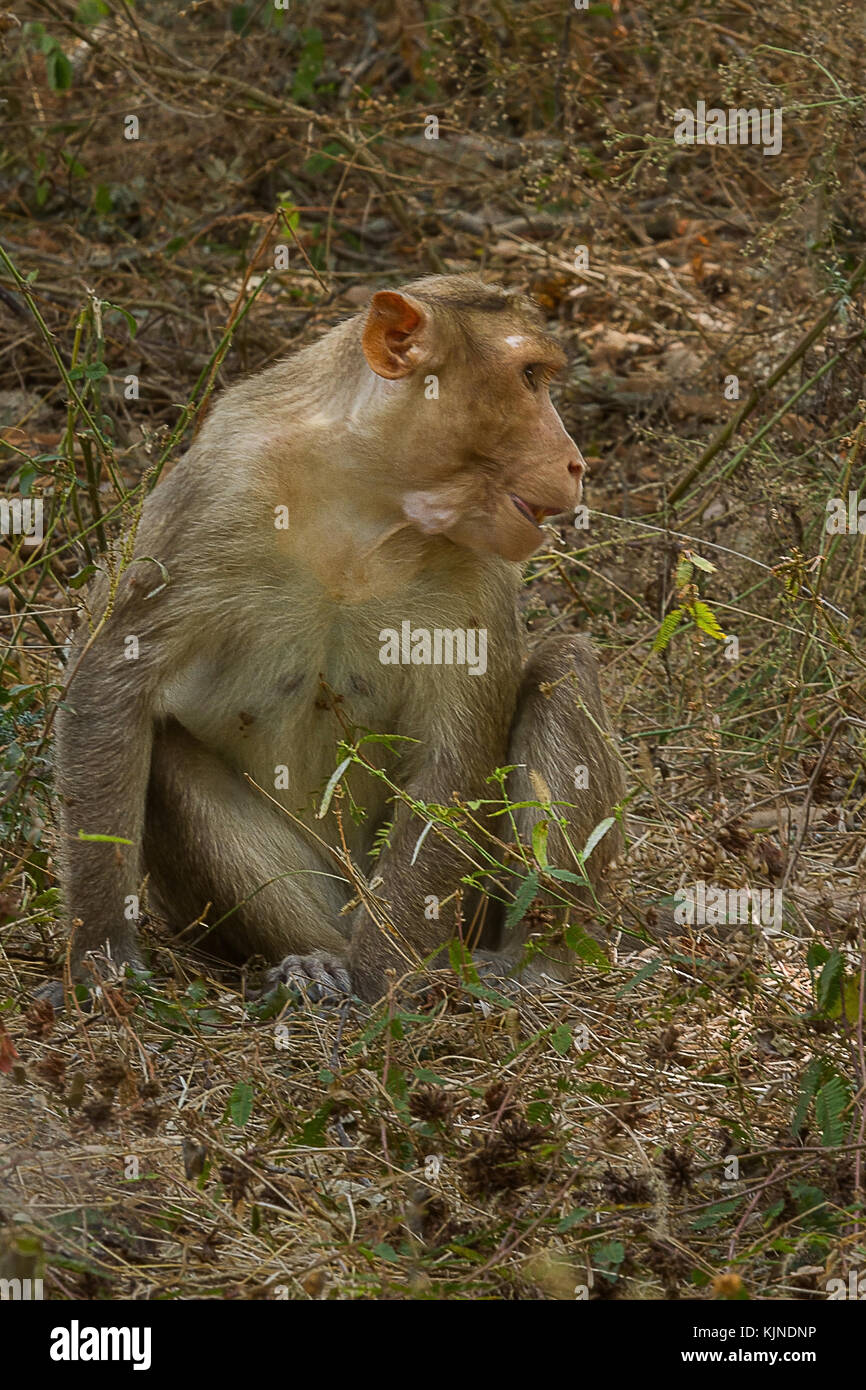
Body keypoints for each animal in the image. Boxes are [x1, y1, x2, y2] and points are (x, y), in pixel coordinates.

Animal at [45, 276, 622, 1006]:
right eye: (528, 378)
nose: (576, 462)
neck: (366, 504)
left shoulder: (478, 562)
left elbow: (455, 753)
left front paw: (385, 976)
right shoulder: (216, 493)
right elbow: (111, 683)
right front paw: (100, 953)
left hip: (467, 911)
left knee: (563, 665)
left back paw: (534, 960)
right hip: (328, 890)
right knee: (167, 751)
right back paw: (316, 960)